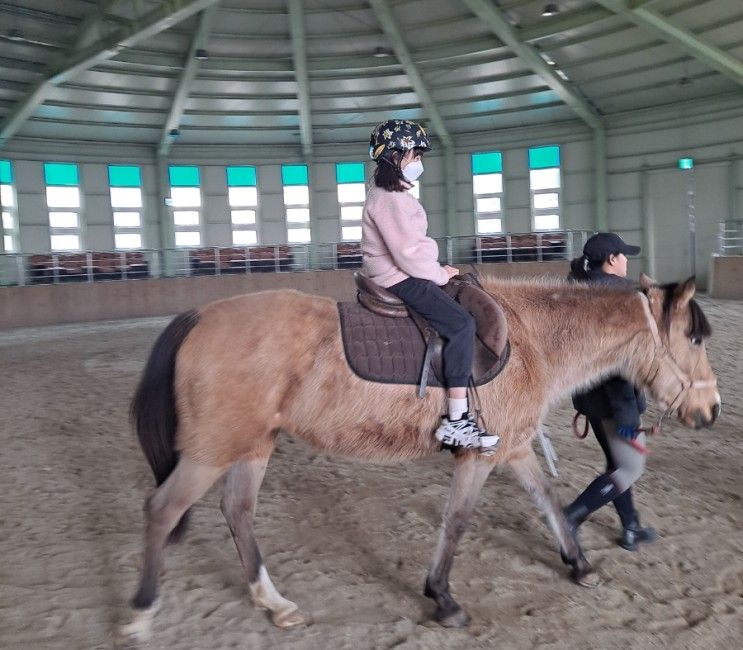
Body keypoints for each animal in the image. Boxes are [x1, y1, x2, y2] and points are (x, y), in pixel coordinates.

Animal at [119, 272, 716, 636]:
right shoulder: (478, 458)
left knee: (237, 512)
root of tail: (199, 316)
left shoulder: (514, 447)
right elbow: (456, 521)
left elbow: (548, 499)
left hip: (251, 445)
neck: (531, 339)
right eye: (694, 339)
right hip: (210, 450)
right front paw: (443, 598)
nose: (711, 409)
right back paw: (141, 614)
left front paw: (580, 563)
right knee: (162, 510)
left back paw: (273, 601)